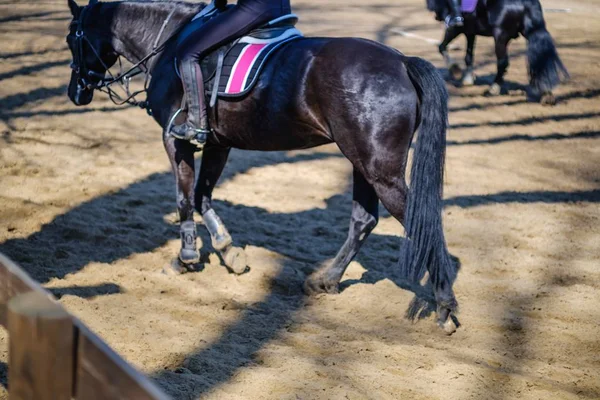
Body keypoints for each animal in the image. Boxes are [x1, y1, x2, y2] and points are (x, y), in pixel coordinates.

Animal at [64, 0, 460, 332]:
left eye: (72, 39)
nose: (75, 93)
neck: (170, 40)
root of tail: (400, 61)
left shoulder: (175, 139)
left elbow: (184, 197)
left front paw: (186, 258)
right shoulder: (218, 143)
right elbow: (202, 196)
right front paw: (228, 251)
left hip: (379, 170)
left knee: (420, 222)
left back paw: (445, 307)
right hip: (362, 162)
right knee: (364, 221)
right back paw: (326, 280)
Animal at [426, 0, 568, 104]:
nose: (436, 16)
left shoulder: (455, 29)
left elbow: (442, 47)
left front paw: (455, 69)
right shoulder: (470, 32)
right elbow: (468, 56)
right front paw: (467, 78)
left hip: (500, 36)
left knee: (503, 62)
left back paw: (493, 89)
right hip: (531, 32)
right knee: (540, 56)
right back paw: (546, 94)